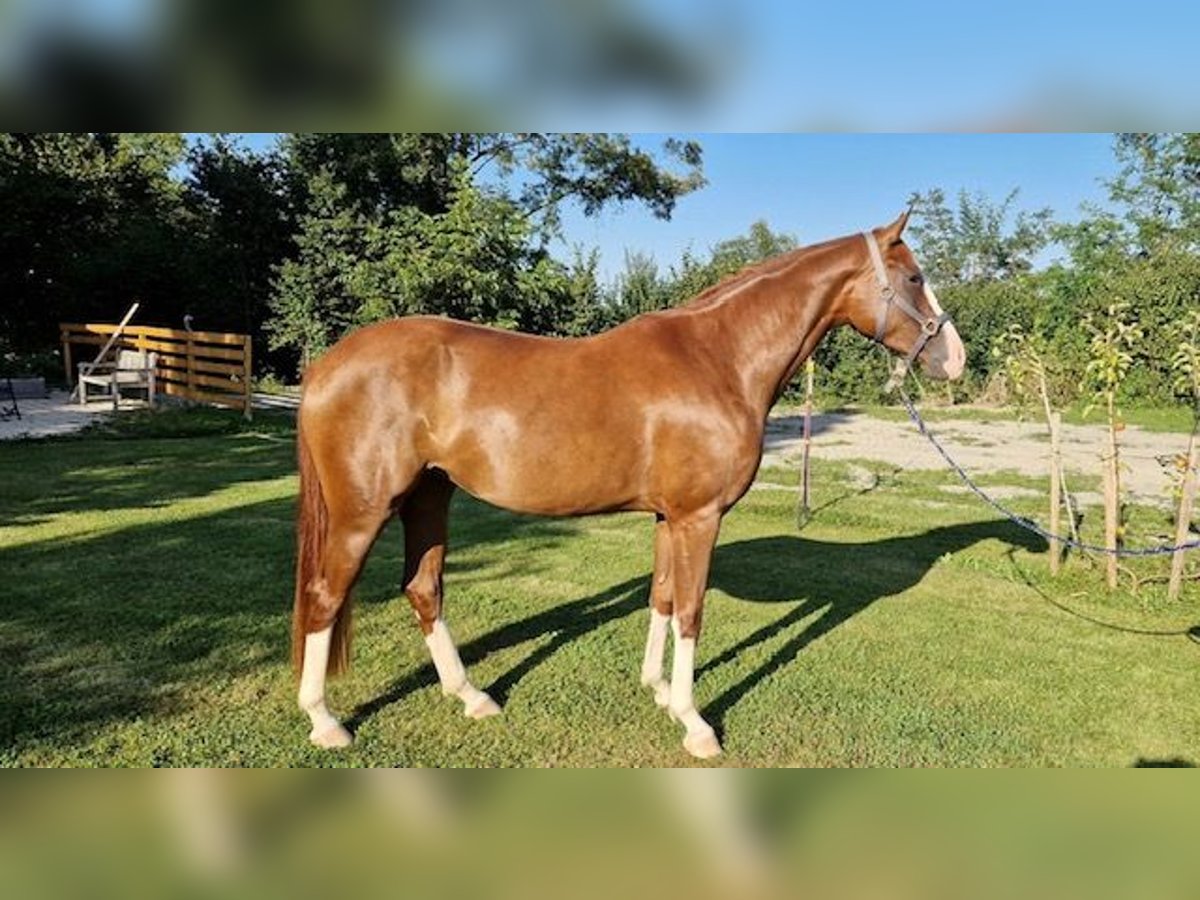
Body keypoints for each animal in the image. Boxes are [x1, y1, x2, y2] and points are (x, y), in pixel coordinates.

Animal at [290, 214, 964, 758]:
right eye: (913, 278)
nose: (953, 358)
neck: (719, 359)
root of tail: (325, 365)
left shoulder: (670, 517)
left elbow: (661, 597)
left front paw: (659, 691)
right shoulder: (699, 517)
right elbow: (691, 610)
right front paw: (695, 725)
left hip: (431, 496)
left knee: (422, 588)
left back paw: (472, 696)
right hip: (364, 510)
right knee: (325, 595)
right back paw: (325, 721)